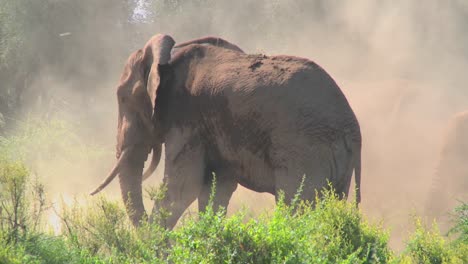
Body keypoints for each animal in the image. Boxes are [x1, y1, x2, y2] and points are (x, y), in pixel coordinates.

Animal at [90, 34, 362, 228]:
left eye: (122, 98)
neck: (168, 60)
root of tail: (353, 127)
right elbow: (216, 189)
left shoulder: (187, 119)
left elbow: (184, 185)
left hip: (305, 149)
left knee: (295, 206)